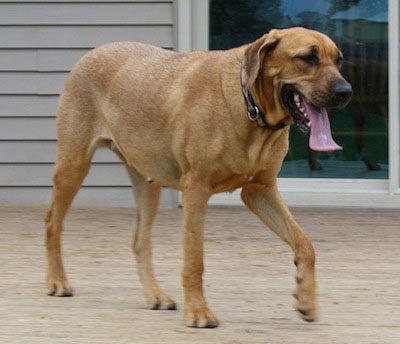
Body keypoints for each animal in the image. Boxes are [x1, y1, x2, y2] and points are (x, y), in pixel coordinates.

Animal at [45, 26, 352, 328]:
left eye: (338, 61)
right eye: (308, 58)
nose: (346, 92)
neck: (252, 112)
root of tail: (92, 52)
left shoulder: (260, 190)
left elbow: (305, 244)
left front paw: (306, 299)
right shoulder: (196, 189)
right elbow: (195, 260)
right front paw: (198, 311)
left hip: (148, 181)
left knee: (140, 241)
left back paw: (155, 295)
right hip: (73, 164)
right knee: (52, 222)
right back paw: (57, 280)